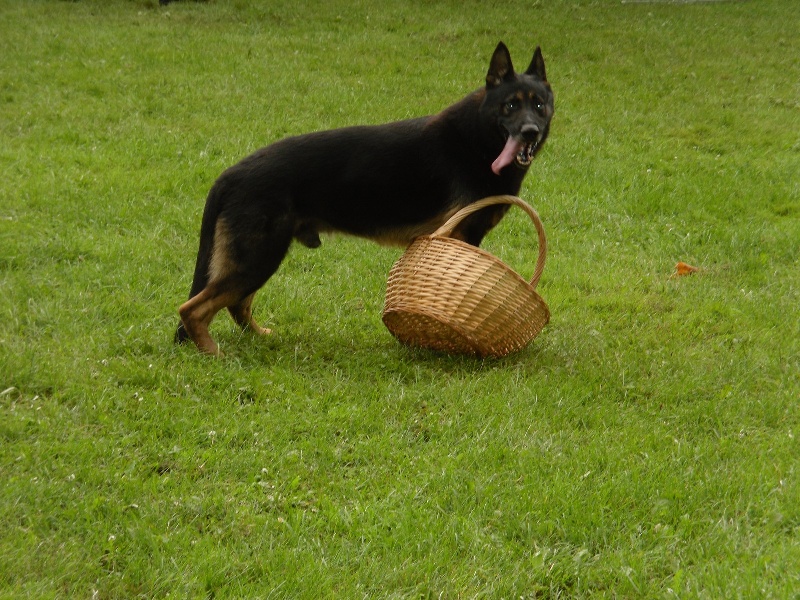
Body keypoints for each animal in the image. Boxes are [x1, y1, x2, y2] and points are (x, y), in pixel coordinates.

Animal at [174, 42, 552, 354]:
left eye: (538, 105)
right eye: (510, 106)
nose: (530, 132)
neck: (480, 136)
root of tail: (230, 174)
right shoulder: (463, 236)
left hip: (258, 259)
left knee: (235, 304)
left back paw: (258, 337)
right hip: (257, 258)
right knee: (193, 309)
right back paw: (212, 353)